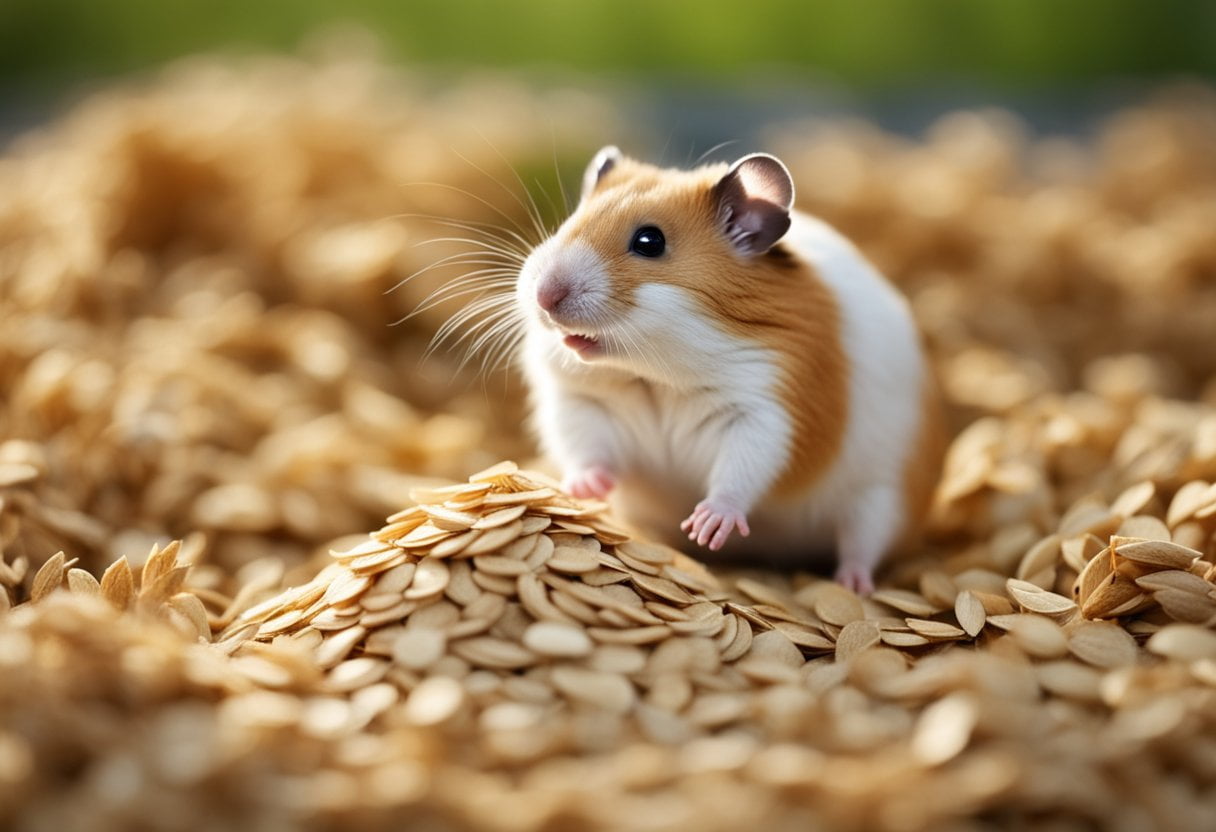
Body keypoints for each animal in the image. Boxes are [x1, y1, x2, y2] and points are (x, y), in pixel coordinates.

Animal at [515, 146, 943, 594]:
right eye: (569, 223)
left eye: (650, 242)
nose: (544, 297)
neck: (654, 373)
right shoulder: (578, 401)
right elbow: (586, 446)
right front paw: (586, 490)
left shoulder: (764, 413)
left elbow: (741, 470)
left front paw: (707, 526)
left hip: (883, 498)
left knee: (864, 543)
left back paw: (852, 585)